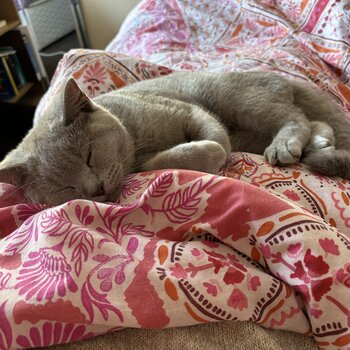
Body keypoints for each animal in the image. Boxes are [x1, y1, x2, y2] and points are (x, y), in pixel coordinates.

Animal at [0, 70, 350, 205]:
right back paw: (319, 143)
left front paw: (206, 151)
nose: (94, 189)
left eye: (88, 154)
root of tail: (282, 77)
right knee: (315, 121)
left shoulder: (187, 110)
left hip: (238, 98)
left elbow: (215, 141)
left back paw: (285, 145)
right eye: (63, 188)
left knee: (296, 118)